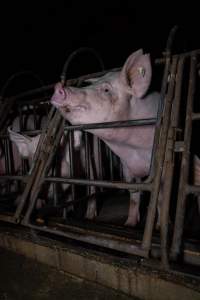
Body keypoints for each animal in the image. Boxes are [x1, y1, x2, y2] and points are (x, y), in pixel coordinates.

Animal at [50, 49, 160, 226]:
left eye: (106, 90)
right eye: (89, 85)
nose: (59, 86)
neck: (133, 150)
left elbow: (161, 197)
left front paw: (157, 226)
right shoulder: (126, 166)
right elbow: (134, 193)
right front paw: (129, 224)